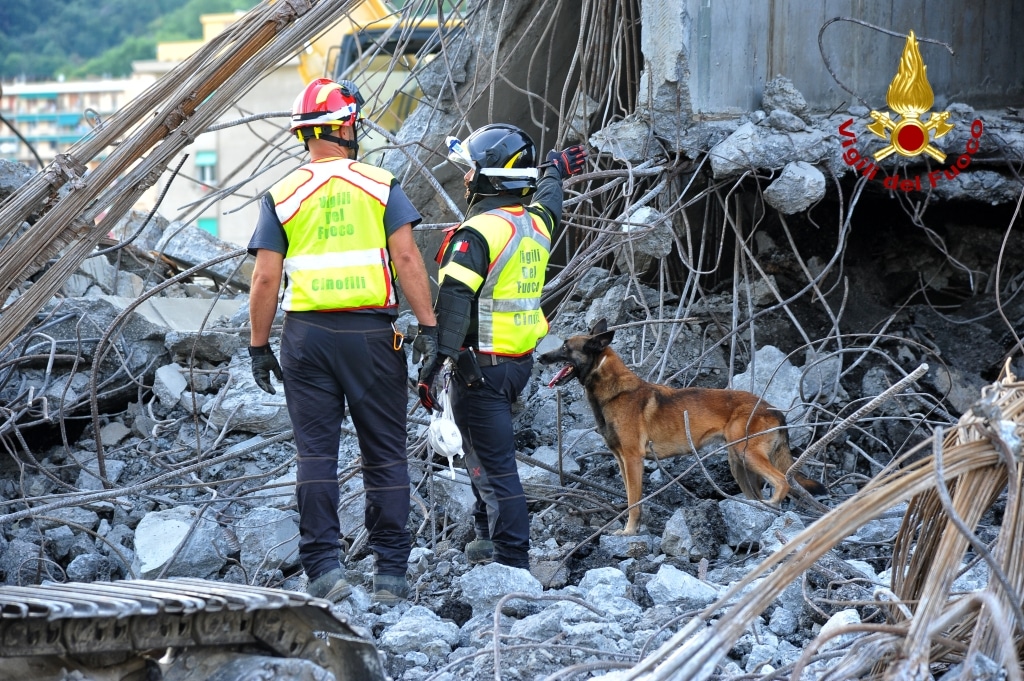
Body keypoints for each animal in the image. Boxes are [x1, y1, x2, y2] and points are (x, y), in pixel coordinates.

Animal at [540, 319, 827, 536]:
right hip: (739, 464)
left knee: (782, 482)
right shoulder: (622, 461)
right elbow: (631, 498)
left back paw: (773, 504)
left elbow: (634, 502)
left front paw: (630, 531)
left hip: (748, 455)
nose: (540, 356)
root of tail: (772, 408)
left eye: (565, 346)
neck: (611, 389)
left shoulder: (633, 459)